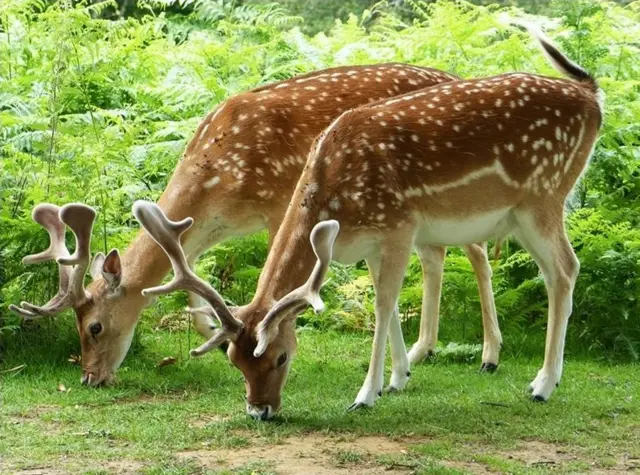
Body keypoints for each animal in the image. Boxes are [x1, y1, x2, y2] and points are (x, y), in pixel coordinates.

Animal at [7, 63, 502, 388]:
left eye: (94, 327)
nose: (89, 378)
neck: (216, 177)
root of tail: (453, 77)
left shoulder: (279, 202)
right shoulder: (213, 226)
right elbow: (189, 273)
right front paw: (210, 332)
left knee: (476, 252)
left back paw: (489, 356)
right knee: (435, 254)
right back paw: (422, 351)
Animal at [134, 27, 600, 418]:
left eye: (281, 356)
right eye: (233, 360)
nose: (259, 411)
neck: (335, 193)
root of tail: (593, 97)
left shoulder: (397, 225)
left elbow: (383, 304)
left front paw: (366, 394)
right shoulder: (371, 241)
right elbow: (385, 301)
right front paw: (397, 378)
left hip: (543, 196)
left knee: (564, 268)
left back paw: (541, 384)